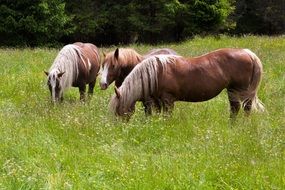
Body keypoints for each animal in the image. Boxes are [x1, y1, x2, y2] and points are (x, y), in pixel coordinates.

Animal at [108, 48, 264, 118]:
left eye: (118, 110)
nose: (120, 128)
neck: (156, 72)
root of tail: (247, 53)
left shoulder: (168, 100)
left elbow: (167, 117)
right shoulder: (158, 101)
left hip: (240, 89)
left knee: (246, 108)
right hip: (232, 90)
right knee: (235, 108)